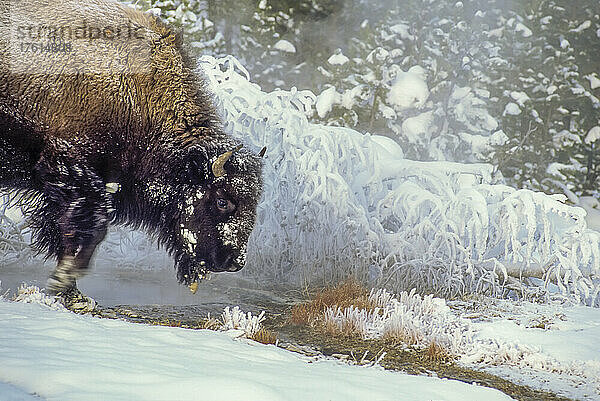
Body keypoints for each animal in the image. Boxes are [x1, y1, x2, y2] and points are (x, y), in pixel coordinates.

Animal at [0, 0, 262, 304]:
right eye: (222, 201)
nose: (234, 260)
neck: (140, 98)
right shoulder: (69, 166)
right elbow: (93, 226)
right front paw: (64, 281)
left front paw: (72, 292)